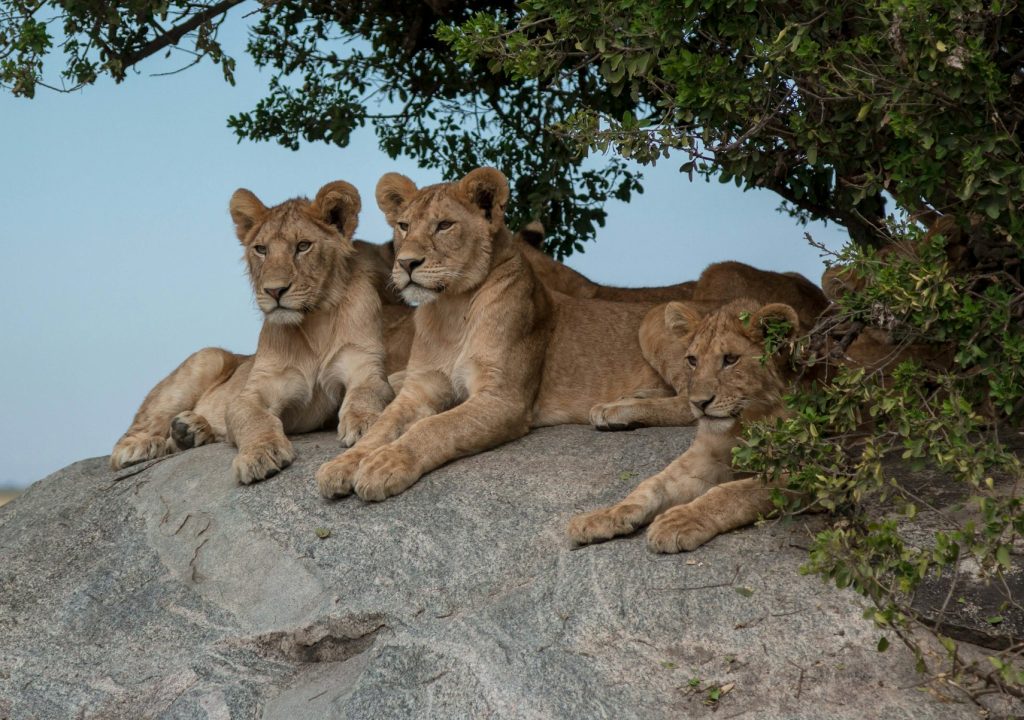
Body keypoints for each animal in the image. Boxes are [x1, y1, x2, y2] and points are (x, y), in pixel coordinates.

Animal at [105, 180, 405, 483]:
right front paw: (261, 454)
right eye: (261, 249)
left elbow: (366, 394)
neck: (313, 322)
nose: (274, 291)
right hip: (208, 357)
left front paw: (365, 424)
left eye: (303, 246)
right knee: (130, 437)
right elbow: (253, 418)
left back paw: (189, 431)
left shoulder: (364, 366)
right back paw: (140, 446)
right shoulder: (255, 391)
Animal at [569, 299, 798, 553]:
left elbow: (737, 492)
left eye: (730, 359)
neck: (747, 420)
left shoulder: (801, 469)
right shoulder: (706, 455)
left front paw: (679, 521)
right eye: (693, 360)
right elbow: (654, 485)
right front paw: (603, 516)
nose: (699, 403)